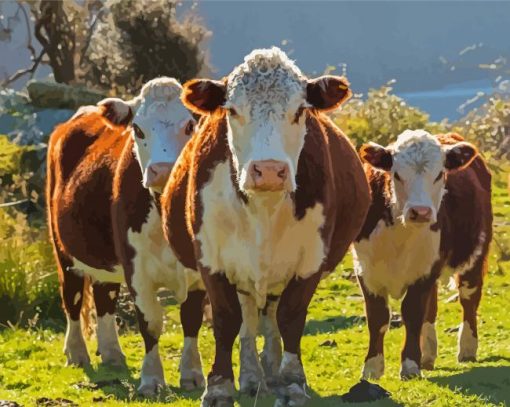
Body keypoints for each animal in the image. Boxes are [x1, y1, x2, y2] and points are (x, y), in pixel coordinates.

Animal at [46, 76, 206, 396]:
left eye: (189, 126)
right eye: (138, 129)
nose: (162, 171)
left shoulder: (197, 265)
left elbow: (191, 318)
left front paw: (192, 374)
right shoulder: (136, 269)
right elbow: (151, 322)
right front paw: (152, 380)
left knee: (104, 297)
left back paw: (111, 354)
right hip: (63, 249)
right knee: (72, 297)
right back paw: (77, 353)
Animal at [160, 46, 370, 406]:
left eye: (300, 110)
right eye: (232, 110)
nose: (269, 170)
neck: (263, 210)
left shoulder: (311, 258)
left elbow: (290, 316)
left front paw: (292, 381)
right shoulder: (210, 258)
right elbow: (226, 318)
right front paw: (219, 386)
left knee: (268, 315)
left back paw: (269, 372)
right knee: (245, 318)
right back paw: (251, 377)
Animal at [352, 131, 492, 382]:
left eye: (439, 174)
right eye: (396, 174)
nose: (421, 212)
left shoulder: (425, 271)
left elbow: (413, 312)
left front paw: (409, 365)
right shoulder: (365, 270)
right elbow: (377, 317)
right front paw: (372, 367)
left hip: (474, 256)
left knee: (469, 299)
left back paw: (467, 348)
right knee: (433, 307)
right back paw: (427, 354)